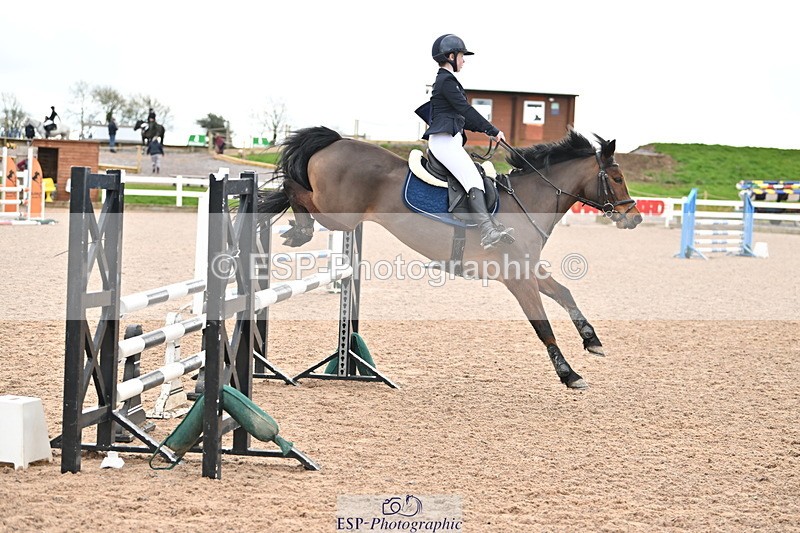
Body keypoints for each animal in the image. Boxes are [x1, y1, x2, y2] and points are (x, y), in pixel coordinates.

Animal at [258, 127, 642, 389]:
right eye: (617, 178)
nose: (634, 219)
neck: (528, 203)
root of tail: (337, 140)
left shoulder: (529, 268)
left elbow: (565, 293)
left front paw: (592, 340)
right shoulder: (517, 277)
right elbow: (543, 326)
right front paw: (569, 374)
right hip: (338, 215)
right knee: (293, 189)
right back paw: (298, 228)